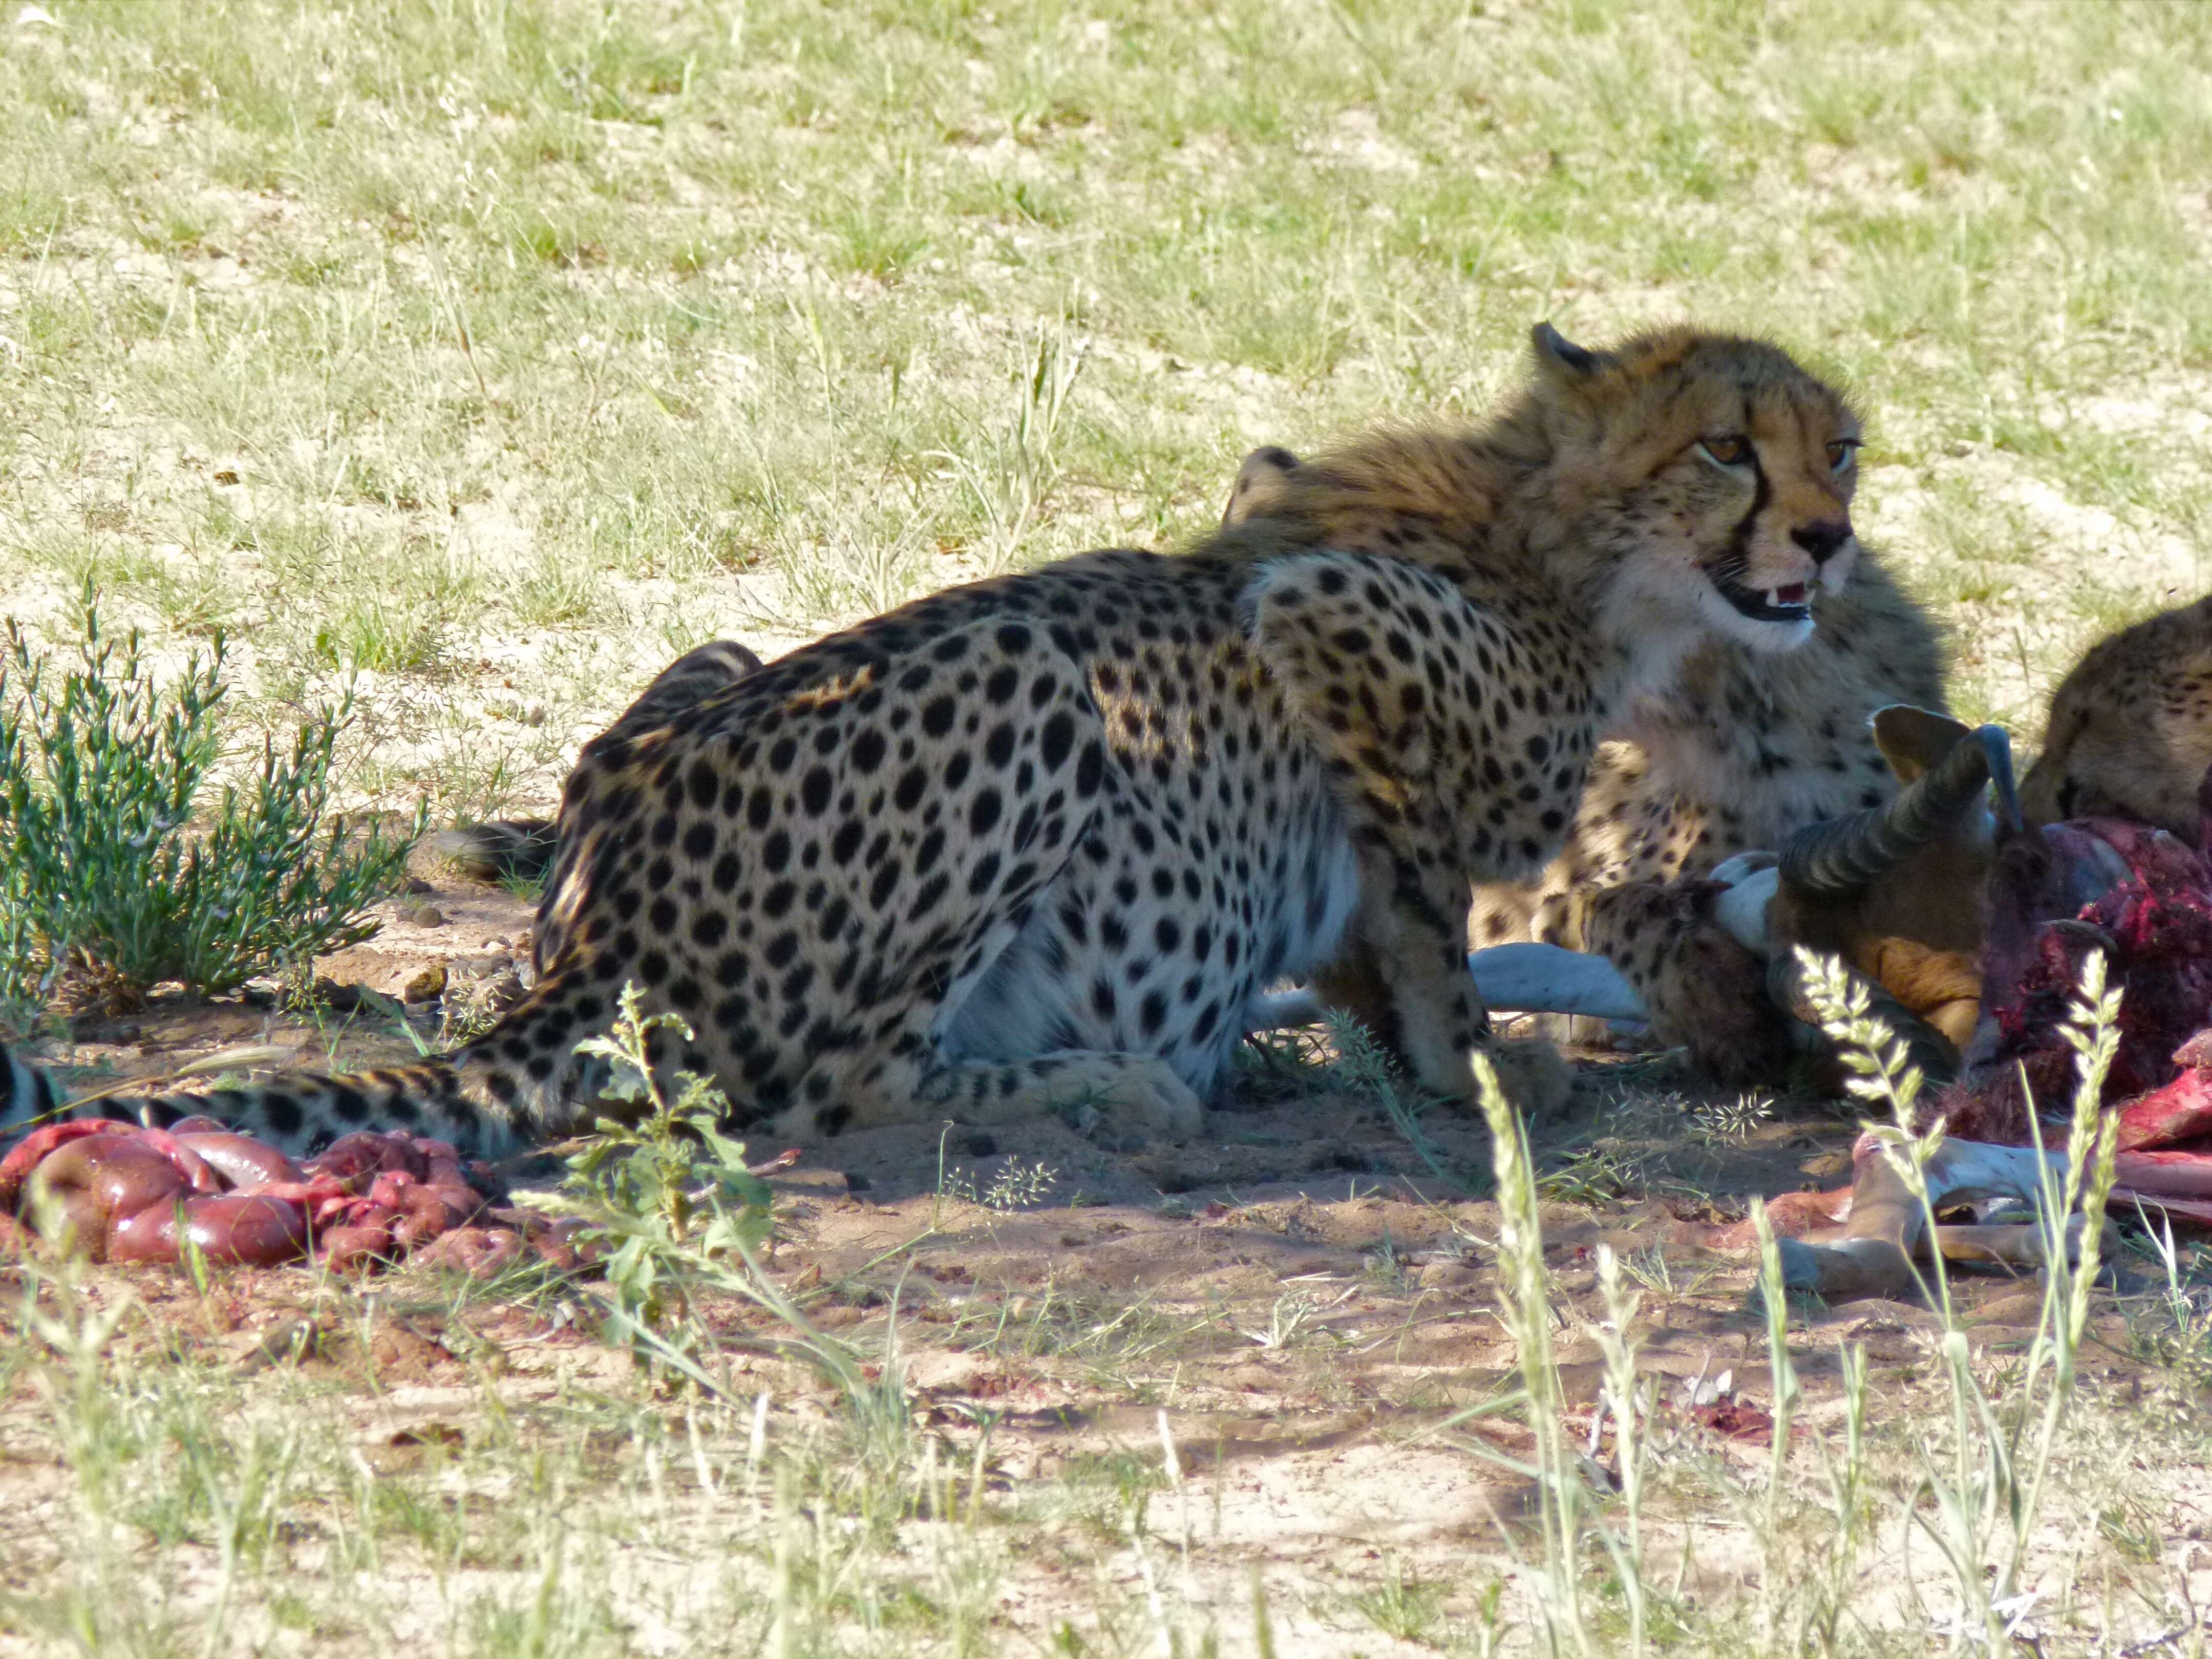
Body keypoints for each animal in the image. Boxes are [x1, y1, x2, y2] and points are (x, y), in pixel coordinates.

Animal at [8, 321, 1876, 1159]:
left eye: (1839, 445)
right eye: (1727, 446)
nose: (1834, 537)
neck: (1572, 551)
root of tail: (589, 936)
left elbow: (1379, 924)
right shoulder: (1317, 618)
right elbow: (1418, 905)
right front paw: (1472, 1066)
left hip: (719, 656)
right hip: (1028, 673)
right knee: (823, 1090)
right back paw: (1119, 1085)